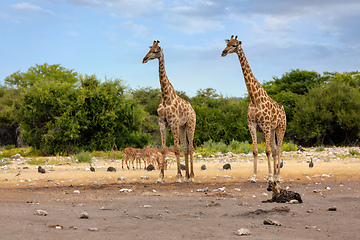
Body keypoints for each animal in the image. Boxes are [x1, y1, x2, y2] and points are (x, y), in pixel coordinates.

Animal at [142, 40, 197, 183]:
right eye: (150, 49)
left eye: (156, 51)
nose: (144, 59)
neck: (166, 97)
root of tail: (193, 110)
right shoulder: (162, 123)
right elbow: (163, 149)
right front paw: (160, 177)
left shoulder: (173, 123)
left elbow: (176, 149)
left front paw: (178, 176)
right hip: (182, 127)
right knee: (186, 148)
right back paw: (187, 176)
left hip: (190, 124)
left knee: (191, 148)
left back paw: (192, 176)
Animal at [221, 35, 286, 182]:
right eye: (227, 43)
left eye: (234, 45)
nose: (223, 52)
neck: (254, 97)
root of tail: (283, 109)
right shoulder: (252, 124)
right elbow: (255, 151)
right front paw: (254, 176)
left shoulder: (265, 125)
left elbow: (267, 151)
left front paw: (269, 177)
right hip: (273, 130)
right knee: (275, 150)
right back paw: (275, 175)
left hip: (281, 128)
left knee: (278, 149)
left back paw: (278, 177)